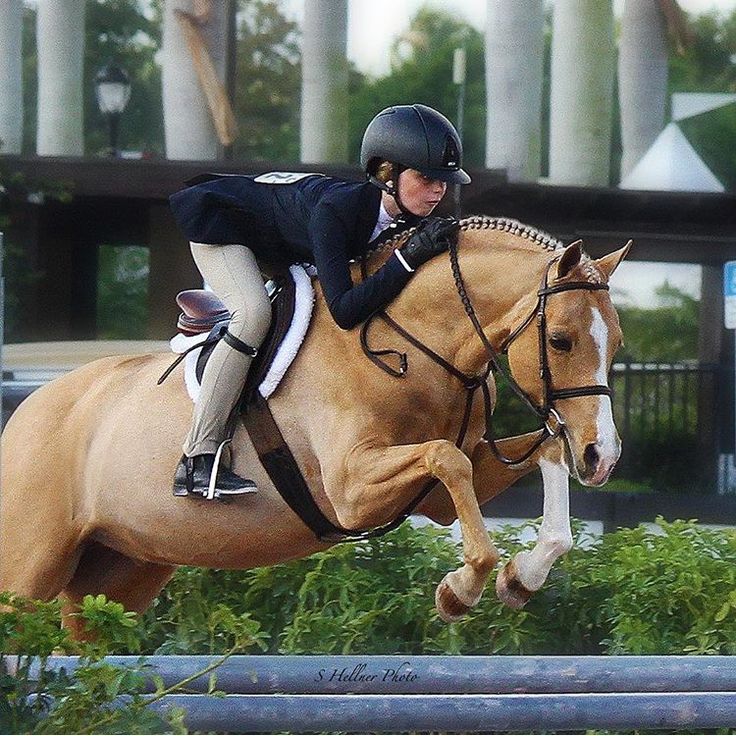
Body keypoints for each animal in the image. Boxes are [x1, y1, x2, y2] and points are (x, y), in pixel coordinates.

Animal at [1, 216, 628, 636]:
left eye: (617, 344)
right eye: (560, 340)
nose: (603, 457)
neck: (411, 340)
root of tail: (25, 412)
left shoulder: (434, 501)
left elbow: (540, 454)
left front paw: (522, 577)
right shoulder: (351, 490)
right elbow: (447, 459)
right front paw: (459, 591)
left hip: (119, 575)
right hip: (28, 573)